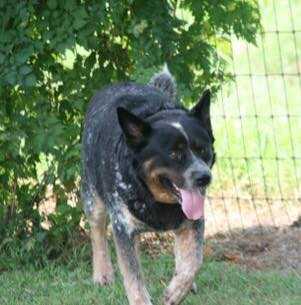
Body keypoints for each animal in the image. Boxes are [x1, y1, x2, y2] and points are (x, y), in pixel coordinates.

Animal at [81, 66, 214, 304]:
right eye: (174, 154)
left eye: (203, 149)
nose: (204, 177)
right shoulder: (123, 226)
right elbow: (133, 277)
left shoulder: (193, 222)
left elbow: (193, 263)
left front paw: (176, 291)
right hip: (92, 197)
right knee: (97, 231)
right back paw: (102, 273)